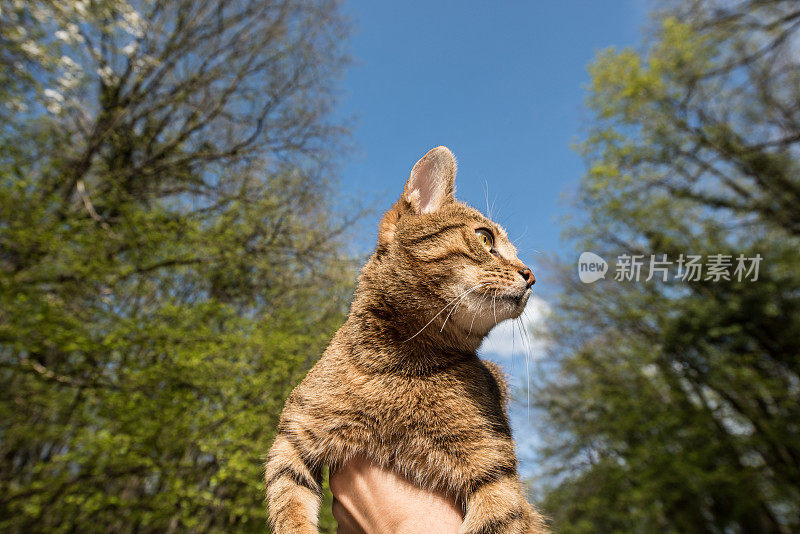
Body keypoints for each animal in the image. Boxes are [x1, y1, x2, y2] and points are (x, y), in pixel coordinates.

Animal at [266, 147, 548, 534]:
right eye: (485, 238)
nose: (531, 275)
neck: (401, 364)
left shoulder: (496, 474)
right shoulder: (291, 438)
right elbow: (288, 509)